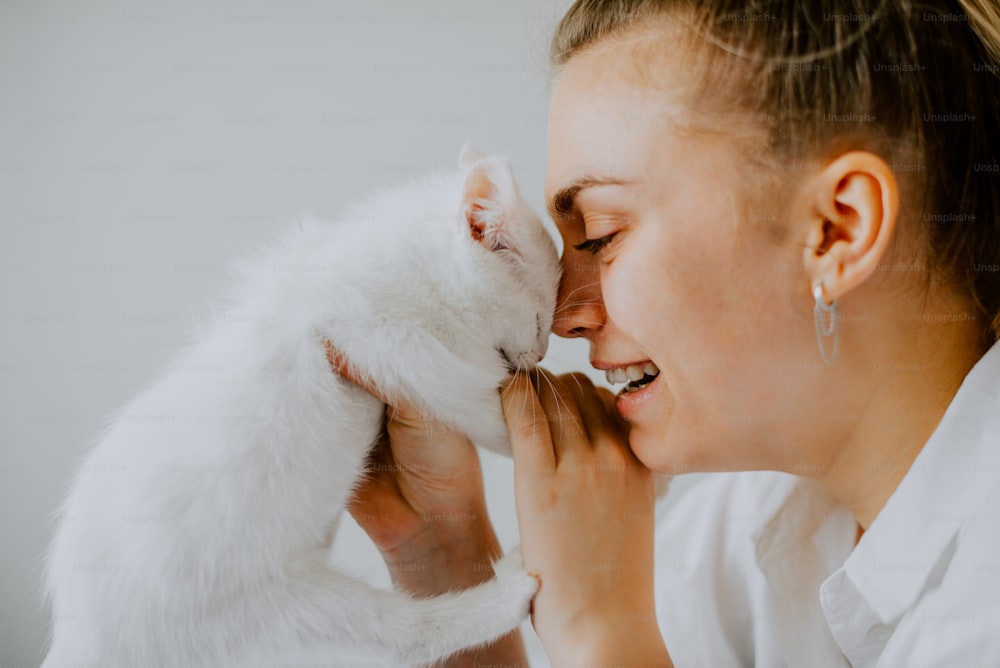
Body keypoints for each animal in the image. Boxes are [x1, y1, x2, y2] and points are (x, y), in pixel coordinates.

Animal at [43, 144, 560, 664]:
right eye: (541, 319)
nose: (540, 355)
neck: (410, 272)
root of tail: (80, 633)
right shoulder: (414, 360)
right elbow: (492, 421)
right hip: (280, 611)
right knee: (407, 637)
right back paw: (508, 586)